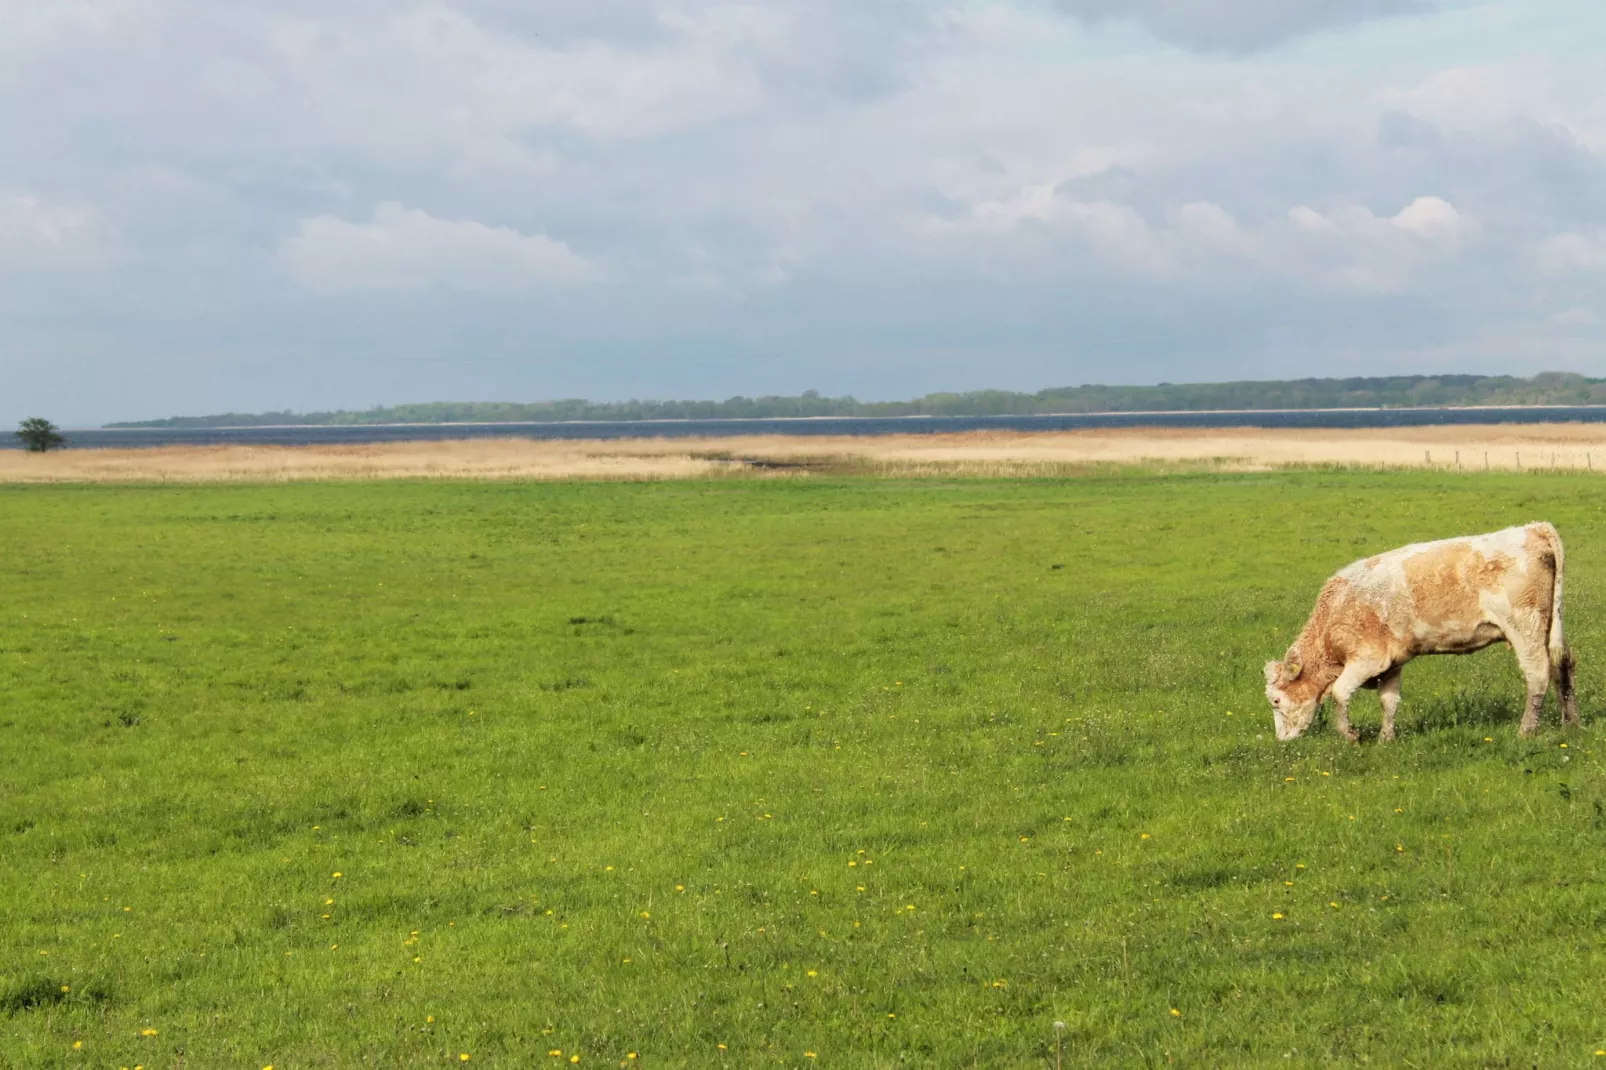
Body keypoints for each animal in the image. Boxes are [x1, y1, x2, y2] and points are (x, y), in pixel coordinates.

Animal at [1259, 520, 1573, 739]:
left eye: (1276, 700)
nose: (1281, 740)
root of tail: (1533, 528)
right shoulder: (1392, 663)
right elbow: (1389, 702)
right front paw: (1386, 740)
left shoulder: (1366, 660)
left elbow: (1339, 693)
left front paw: (1351, 735)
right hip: (1550, 627)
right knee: (1564, 666)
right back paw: (1572, 723)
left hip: (1525, 627)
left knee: (1538, 675)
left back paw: (1526, 731)